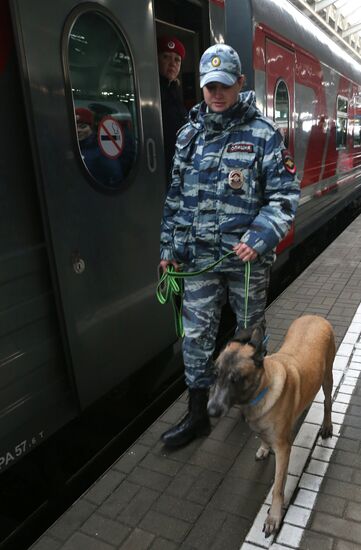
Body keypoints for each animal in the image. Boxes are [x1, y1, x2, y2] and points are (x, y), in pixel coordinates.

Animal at [208, 316, 334, 536]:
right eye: (215, 374)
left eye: (236, 379)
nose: (212, 411)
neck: (261, 391)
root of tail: (316, 317)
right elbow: (262, 437)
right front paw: (264, 448)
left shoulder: (284, 449)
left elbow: (277, 487)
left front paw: (274, 517)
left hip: (327, 377)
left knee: (327, 402)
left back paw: (327, 425)